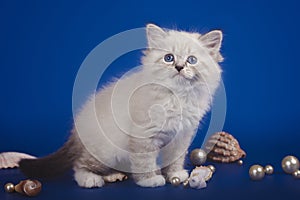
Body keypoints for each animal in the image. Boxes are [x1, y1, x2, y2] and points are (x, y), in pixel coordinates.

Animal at [18, 23, 224, 188]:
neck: (177, 96)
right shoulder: (144, 136)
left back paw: (114, 175)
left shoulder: (181, 135)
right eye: (169, 58)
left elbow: (175, 159)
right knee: (79, 165)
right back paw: (91, 180)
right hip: (106, 151)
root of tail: (77, 130)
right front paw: (150, 180)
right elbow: (144, 161)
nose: (179, 67)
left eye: (191, 60)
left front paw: (175, 175)